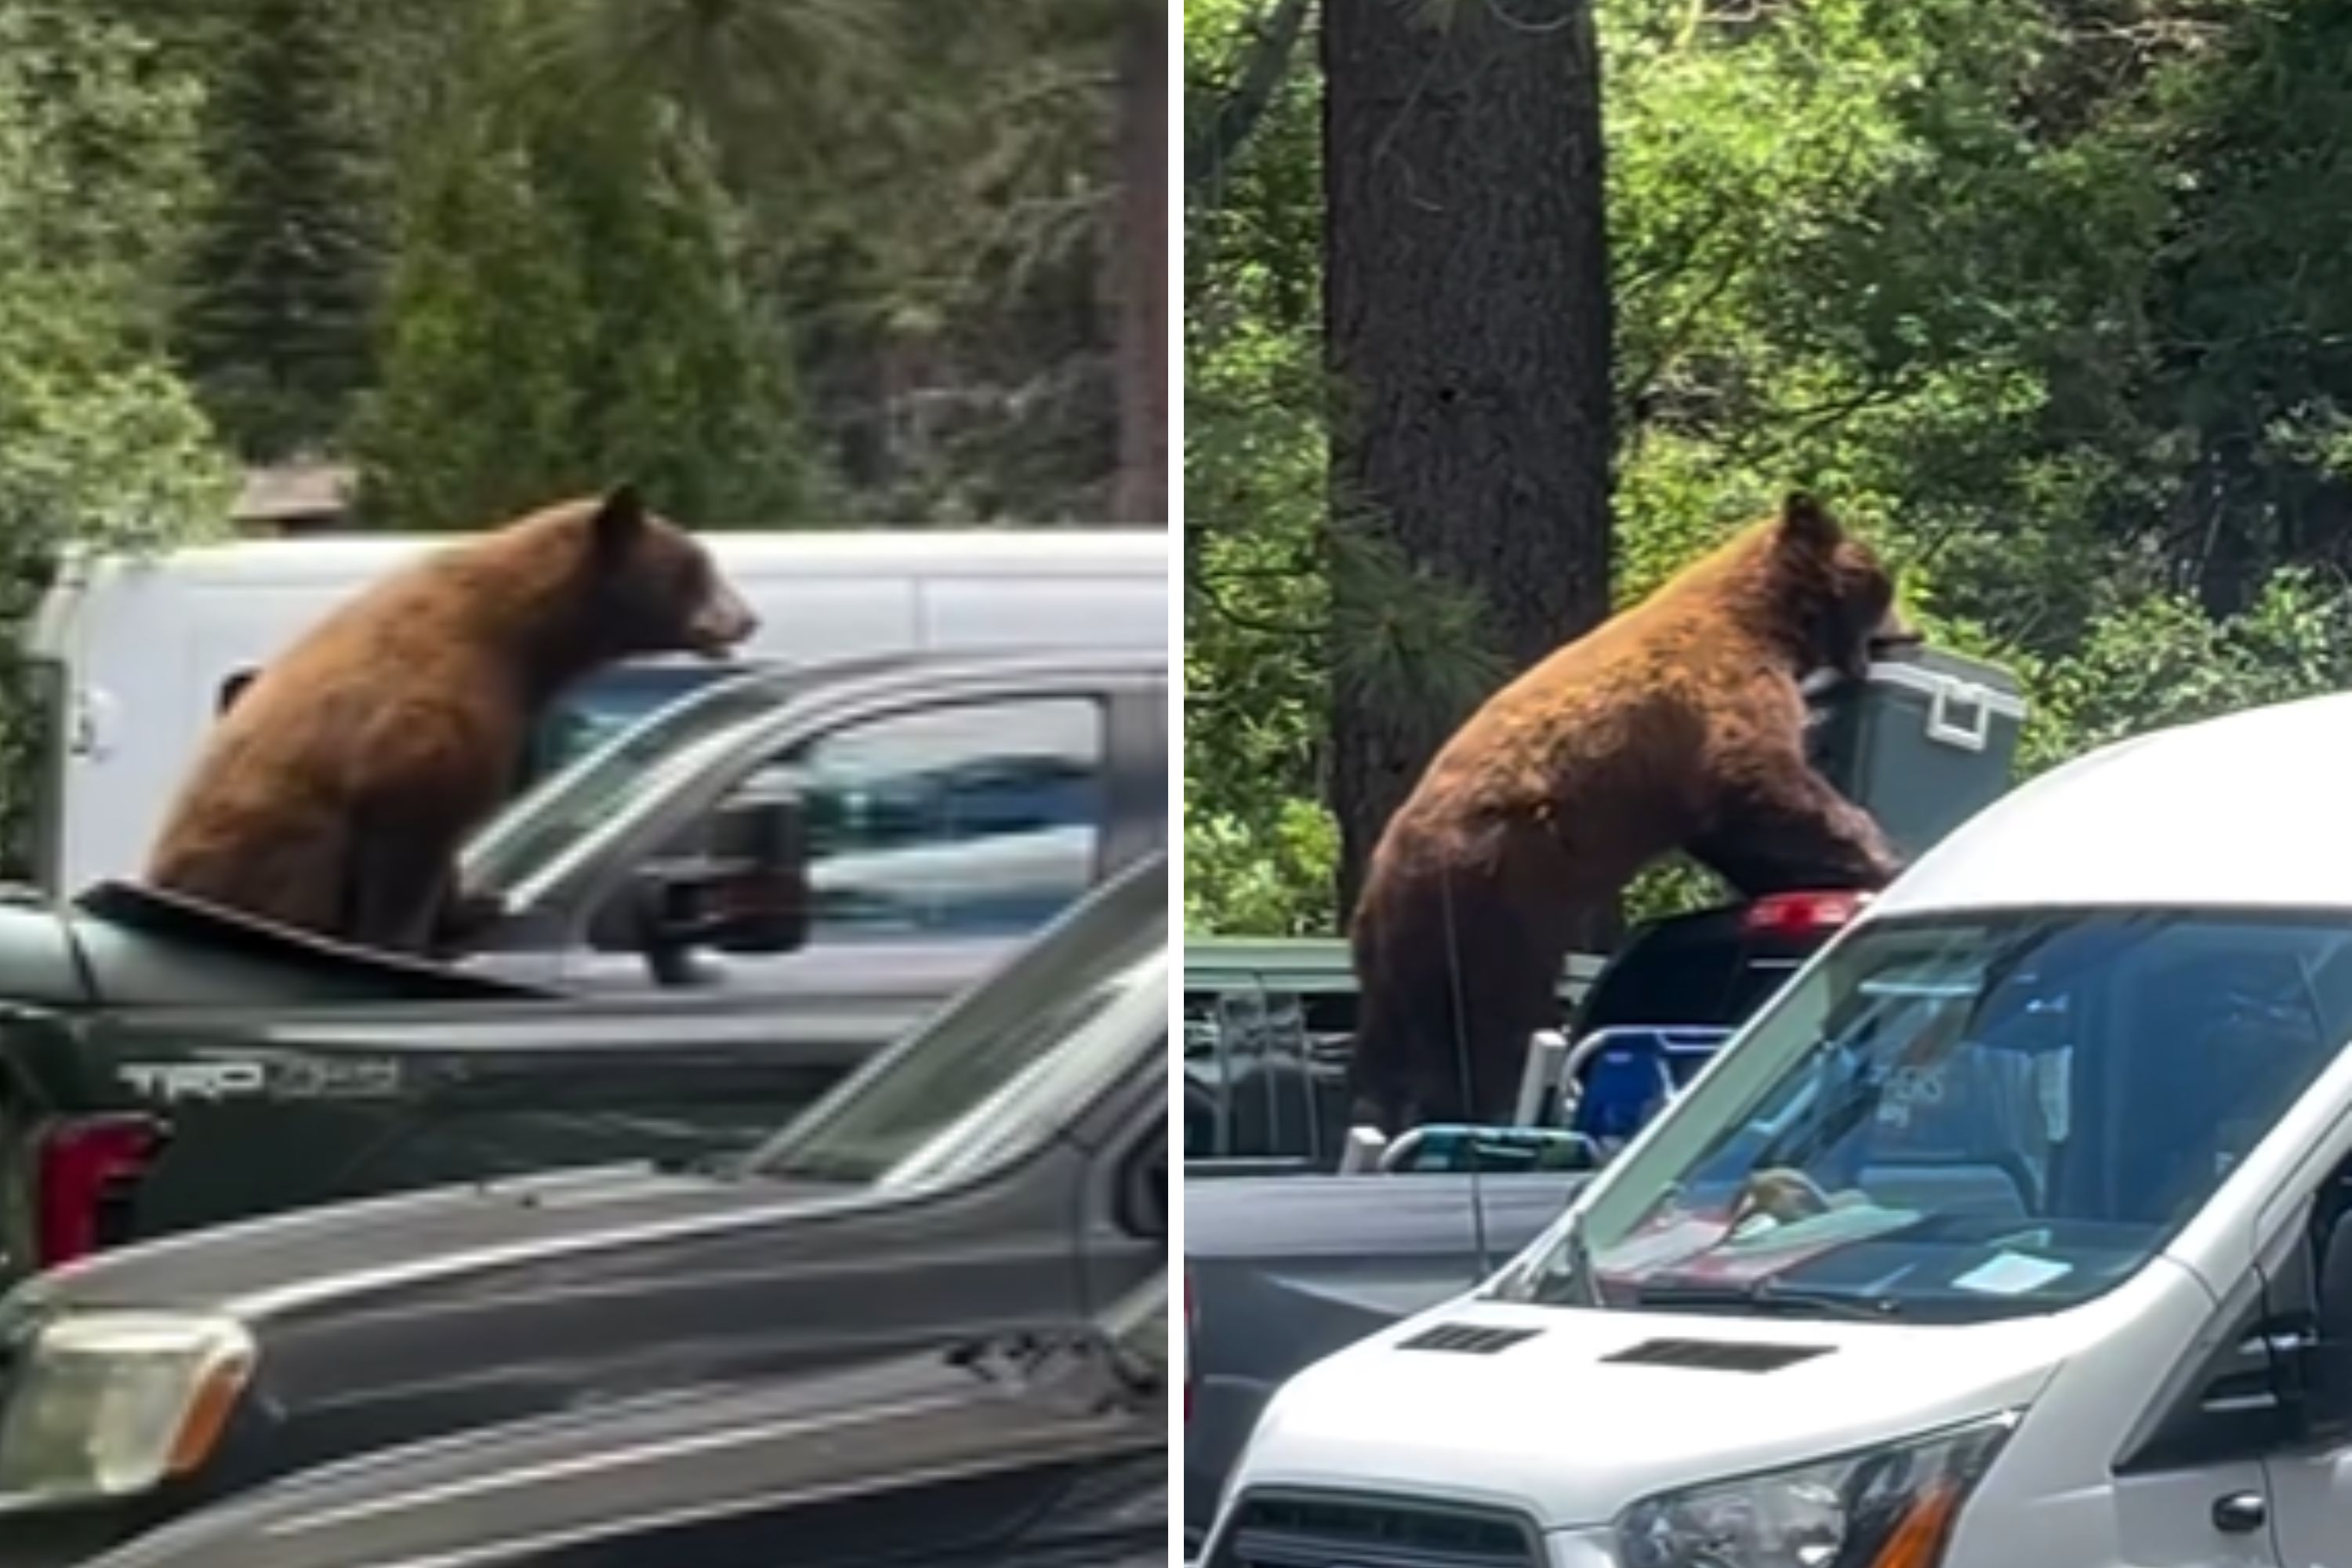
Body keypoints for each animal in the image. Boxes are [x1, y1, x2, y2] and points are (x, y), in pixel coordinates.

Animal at [141, 485, 757, 955]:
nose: (749, 618)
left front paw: (478, 903)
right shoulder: (432, 711)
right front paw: (405, 939)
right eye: (698, 566)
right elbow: (416, 826)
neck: (519, 638)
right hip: (274, 858)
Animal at [1345, 492, 1907, 1134]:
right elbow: (1764, 783)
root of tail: (1382, 880)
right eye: (1883, 585)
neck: (1766, 621)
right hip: (1490, 904)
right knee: (1486, 1026)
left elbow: (1735, 830)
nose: (1909, 632)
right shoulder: (1718, 694)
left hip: (1402, 954)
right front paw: (1883, 856)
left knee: (1396, 1048)